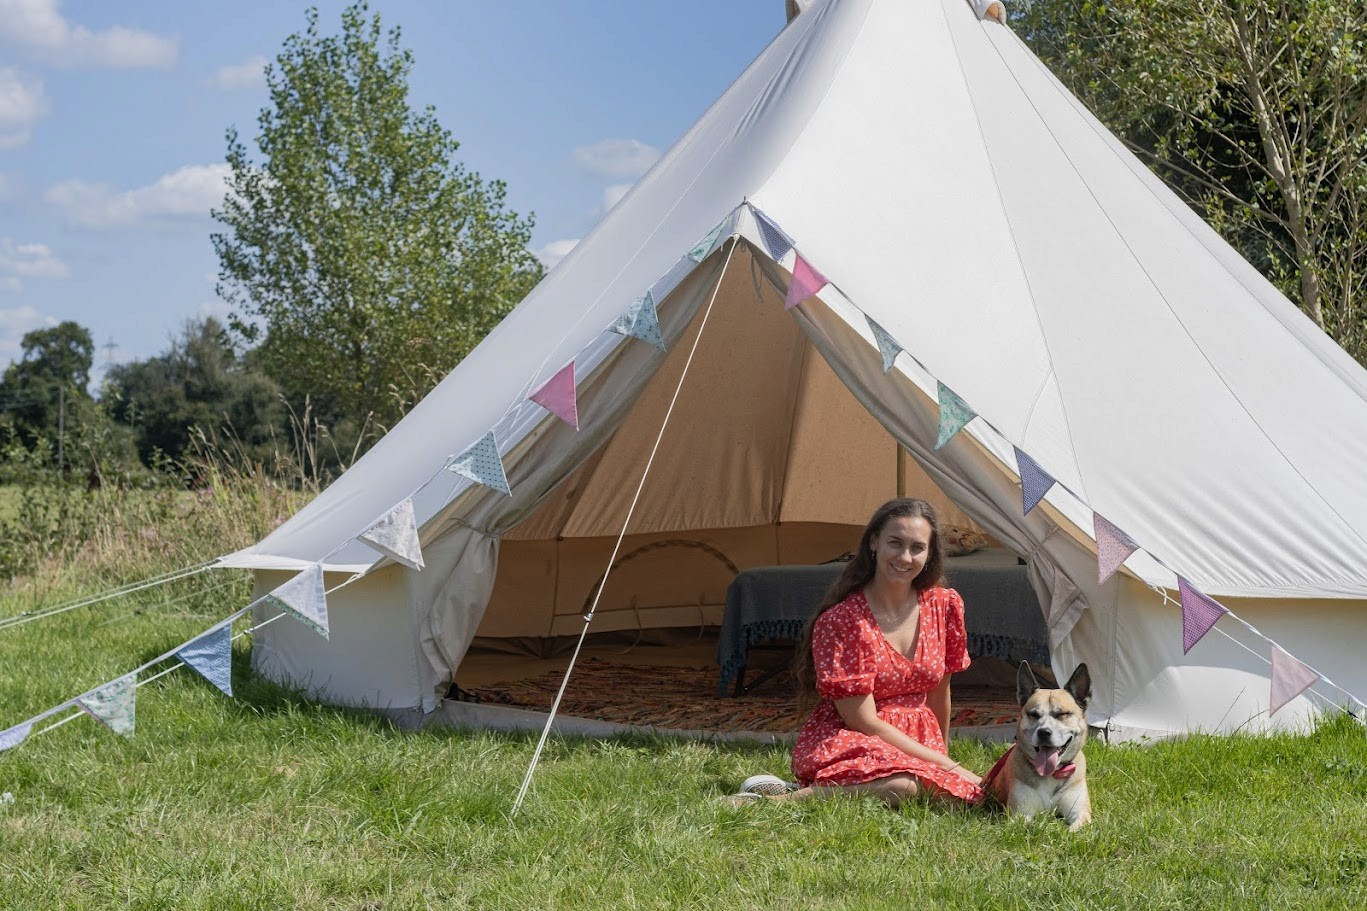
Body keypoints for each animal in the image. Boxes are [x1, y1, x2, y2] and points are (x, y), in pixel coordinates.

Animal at [989, 659, 1093, 831]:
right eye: (1033, 714)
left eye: (1062, 714)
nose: (1044, 732)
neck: (1051, 774)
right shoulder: (1020, 813)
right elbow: (1030, 824)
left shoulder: (1081, 813)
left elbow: (1075, 828)